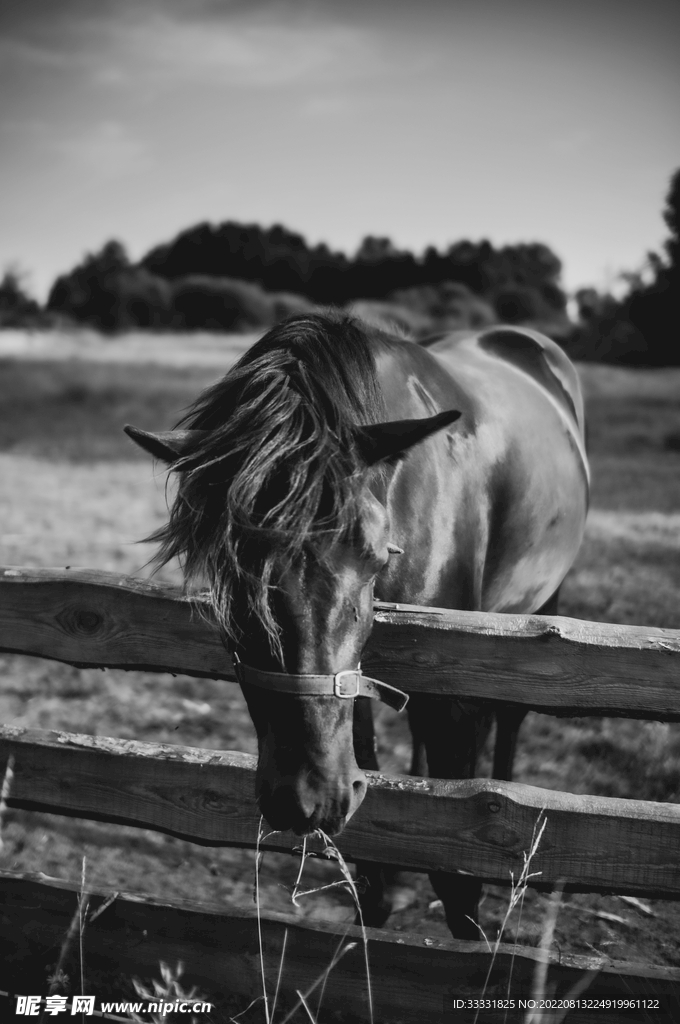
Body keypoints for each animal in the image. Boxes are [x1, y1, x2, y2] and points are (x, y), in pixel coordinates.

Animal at [125, 310, 588, 939]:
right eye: (226, 572)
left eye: (374, 556)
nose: (306, 798)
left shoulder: (456, 683)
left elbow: (459, 869)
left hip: (541, 601)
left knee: (512, 714)